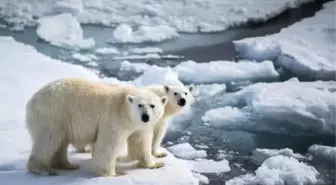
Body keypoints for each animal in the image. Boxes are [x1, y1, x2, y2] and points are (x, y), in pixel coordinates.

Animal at [25, 77, 167, 176]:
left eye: (152, 105)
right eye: (140, 105)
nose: (145, 116)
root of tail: (33, 100)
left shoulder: (139, 126)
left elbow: (141, 143)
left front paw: (156, 164)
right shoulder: (114, 117)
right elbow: (108, 144)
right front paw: (113, 174)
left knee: (60, 142)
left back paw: (68, 165)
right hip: (52, 114)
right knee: (48, 140)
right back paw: (43, 169)